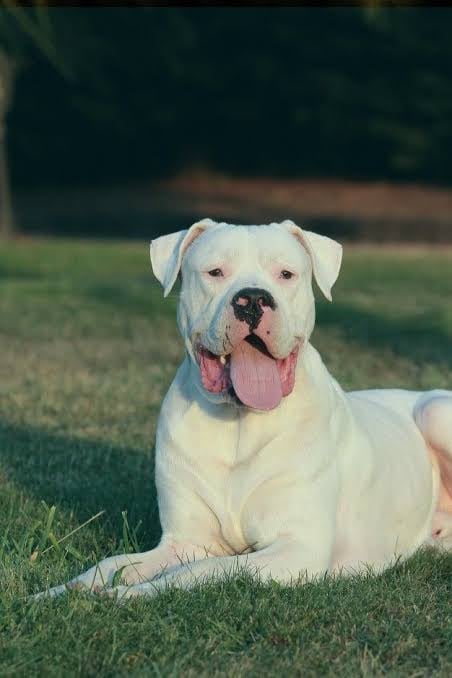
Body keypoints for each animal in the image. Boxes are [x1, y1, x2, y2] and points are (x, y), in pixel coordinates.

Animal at [41, 219, 452, 600]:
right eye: (215, 272)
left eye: (286, 274)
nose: (252, 298)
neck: (238, 421)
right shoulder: (185, 541)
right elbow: (111, 564)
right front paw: (59, 593)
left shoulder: (297, 550)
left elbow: (206, 570)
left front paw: (129, 595)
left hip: (434, 411)